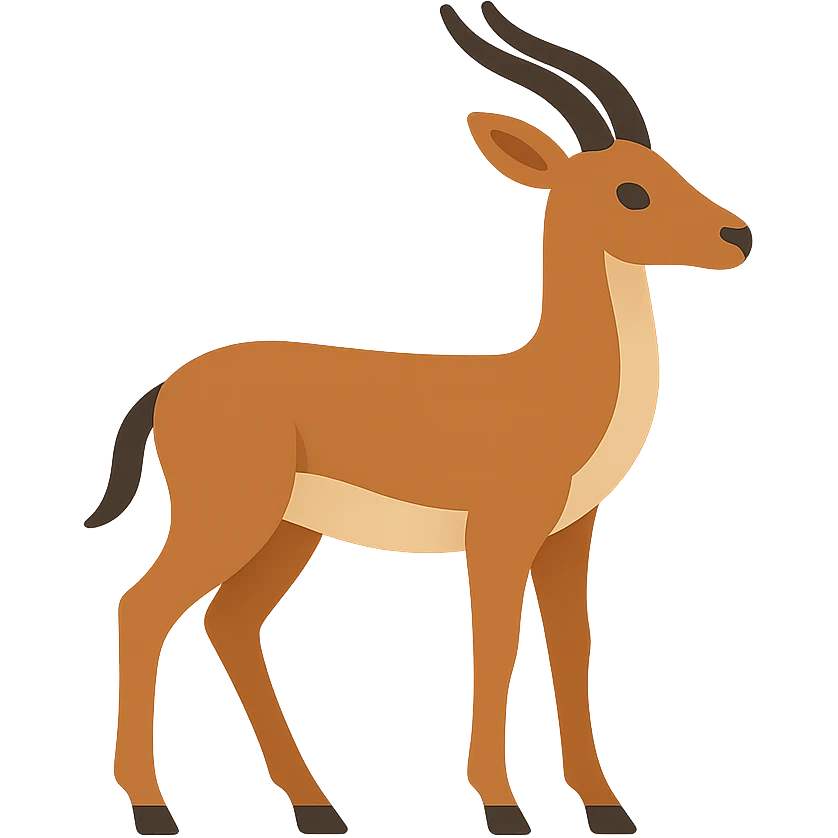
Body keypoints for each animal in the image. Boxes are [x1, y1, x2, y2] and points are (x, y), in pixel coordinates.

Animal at [87, 4, 753, 835]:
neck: (554, 382)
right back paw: (153, 807)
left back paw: (317, 807)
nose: (741, 235)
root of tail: (167, 384)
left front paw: (607, 809)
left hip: (288, 531)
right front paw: (503, 807)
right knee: (141, 609)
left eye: (672, 170)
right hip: (228, 518)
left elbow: (572, 649)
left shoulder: (570, 536)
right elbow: (497, 644)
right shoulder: (500, 533)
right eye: (632, 191)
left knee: (230, 624)